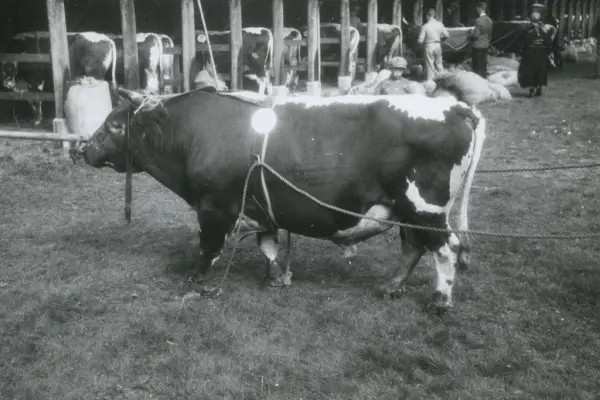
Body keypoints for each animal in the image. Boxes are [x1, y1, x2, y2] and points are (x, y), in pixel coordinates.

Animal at [73, 88, 486, 312]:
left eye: (114, 125)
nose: (84, 149)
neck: (194, 132)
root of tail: (455, 106)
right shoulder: (262, 209)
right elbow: (268, 244)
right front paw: (276, 278)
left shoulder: (214, 208)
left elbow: (208, 249)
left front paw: (195, 283)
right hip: (406, 211)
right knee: (413, 247)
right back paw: (391, 287)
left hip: (426, 209)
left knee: (445, 248)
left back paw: (439, 301)